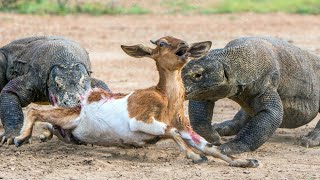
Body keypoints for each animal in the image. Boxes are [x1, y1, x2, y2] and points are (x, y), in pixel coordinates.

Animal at [13, 36, 258, 167]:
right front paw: (194, 156)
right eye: (162, 43)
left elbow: (211, 147)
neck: (166, 99)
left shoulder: (185, 127)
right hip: (67, 115)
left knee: (48, 122)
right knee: (35, 111)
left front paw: (245, 162)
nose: (185, 45)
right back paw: (19, 138)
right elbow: (171, 132)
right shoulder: (139, 120)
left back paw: (42, 135)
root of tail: (82, 100)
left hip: (67, 125)